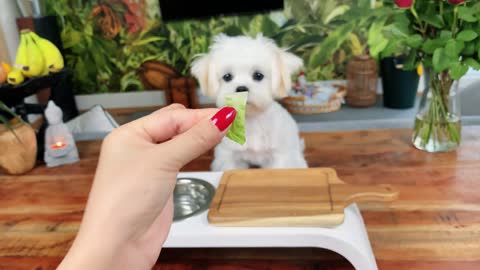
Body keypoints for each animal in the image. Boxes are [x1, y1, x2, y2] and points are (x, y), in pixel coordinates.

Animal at [191, 32, 308, 170]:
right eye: (227, 77)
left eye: (258, 75)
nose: (241, 88)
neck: (252, 121)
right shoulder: (230, 156)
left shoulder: (280, 157)